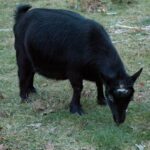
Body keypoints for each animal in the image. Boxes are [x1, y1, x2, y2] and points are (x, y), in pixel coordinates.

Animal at [13, 4, 142, 124]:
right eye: (111, 97)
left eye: (131, 98)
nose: (119, 120)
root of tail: (22, 16)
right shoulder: (74, 71)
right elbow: (78, 88)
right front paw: (76, 109)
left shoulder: (97, 73)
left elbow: (99, 83)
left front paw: (101, 100)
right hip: (22, 54)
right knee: (22, 74)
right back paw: (24, 97)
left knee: (31, 72)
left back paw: (31, 90)